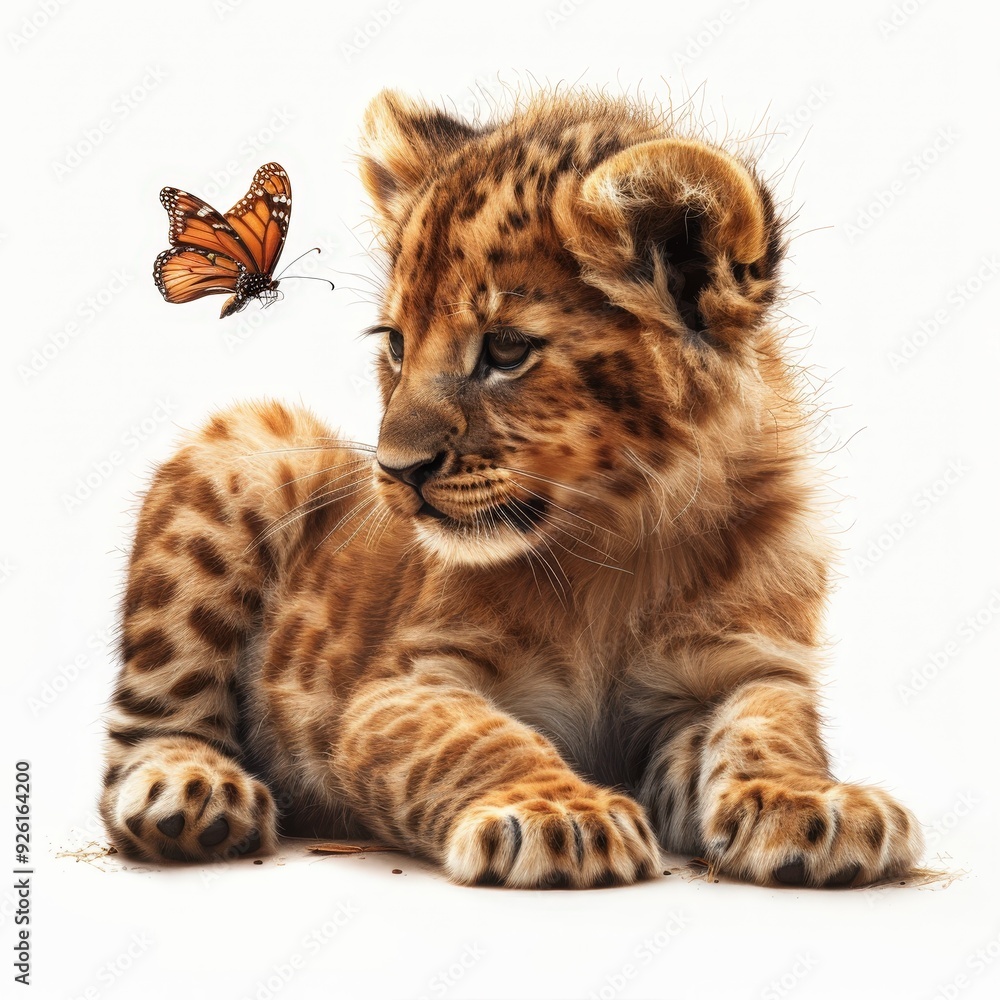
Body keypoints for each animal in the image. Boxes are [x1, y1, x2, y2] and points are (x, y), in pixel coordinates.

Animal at [99, 89, 924, 889]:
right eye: (396, 345)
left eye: (505, 350)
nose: (396, 470)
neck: (617, 542)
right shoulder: (400, 686)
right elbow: (476, 739)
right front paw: (558, 813)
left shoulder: (735, 668)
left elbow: (767, 728)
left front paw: (815, 804)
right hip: (251, 446)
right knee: (148, 726)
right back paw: (192, 792)